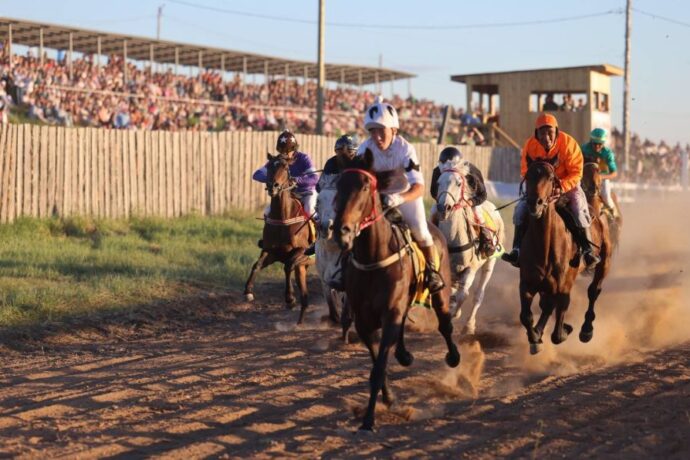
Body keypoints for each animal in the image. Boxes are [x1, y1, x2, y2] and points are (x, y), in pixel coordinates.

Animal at [243, 154, 314, 324]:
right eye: (269, 166)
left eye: (285, 167)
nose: (272, 186)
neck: (283, 216)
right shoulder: (270, 250)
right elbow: (257, 265)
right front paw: (248, 291)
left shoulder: (301, 250)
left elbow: (287, 266)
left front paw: (290, 299)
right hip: (303, 266)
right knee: (305, 295)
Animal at [332, 150, 460, 432]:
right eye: (338, 185)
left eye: (365, 186)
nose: (341, 231)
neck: (374, 257)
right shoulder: (364, 321)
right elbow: (377, 365)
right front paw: (388, 399)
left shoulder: (390, 312)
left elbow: (379, 367)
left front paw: (368, 420)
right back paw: (403, 353)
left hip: (440, 294)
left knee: (445, 323)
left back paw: (454, 357)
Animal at [436, 165, 506, 334]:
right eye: (438, 182)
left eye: (458, 183)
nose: (443, 207)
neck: (452, 238)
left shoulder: (470, 269)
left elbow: (463, 295)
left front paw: (455, 313)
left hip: (489, 263)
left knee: (477, 295)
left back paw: (468, 325)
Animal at [520, 160, 612, 354]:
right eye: (528, 175)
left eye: (550, 178)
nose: (535, 203)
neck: (545, 245)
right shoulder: (527, 282)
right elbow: (526, 315)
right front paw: (534, 337)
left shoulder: (564, 284)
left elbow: (557, 333)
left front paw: (566, 329)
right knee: (547, 305)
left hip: (604, 262)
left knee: (593, 291)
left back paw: (586, 329)